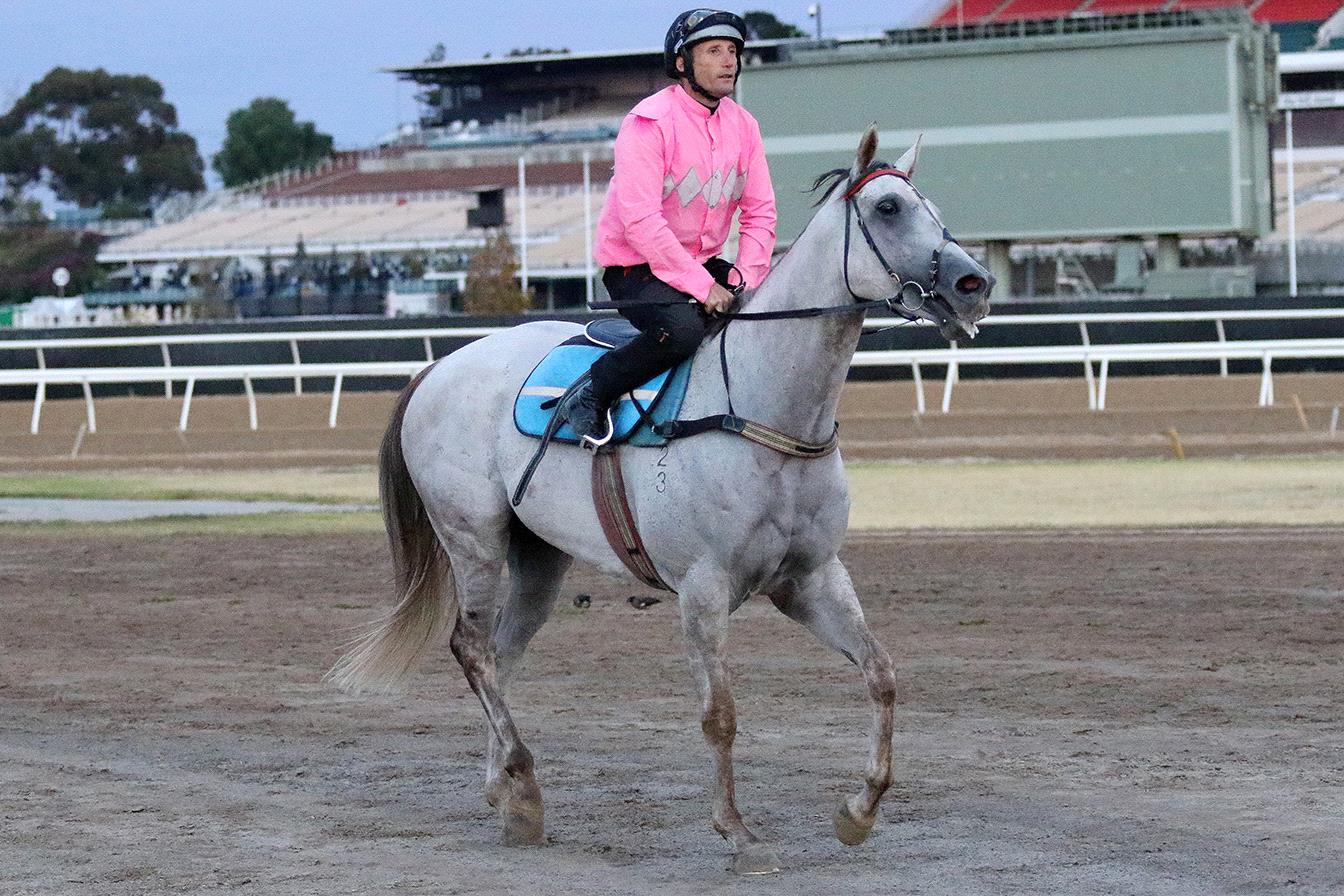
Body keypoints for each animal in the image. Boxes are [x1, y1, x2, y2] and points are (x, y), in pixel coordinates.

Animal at [329, 127, 994, 875]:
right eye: (887, 208)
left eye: (931, 206)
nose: (974, 284)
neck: (760, 408)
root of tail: (439, 367)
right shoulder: (702, 590)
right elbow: (720, 715)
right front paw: (738, 834)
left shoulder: (812, 578)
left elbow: (881, 674)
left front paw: (858, 811)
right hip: (474, 539)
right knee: (471, 649)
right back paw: (522, 783)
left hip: (539, 562)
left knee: (498, 654)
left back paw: (507, 792)